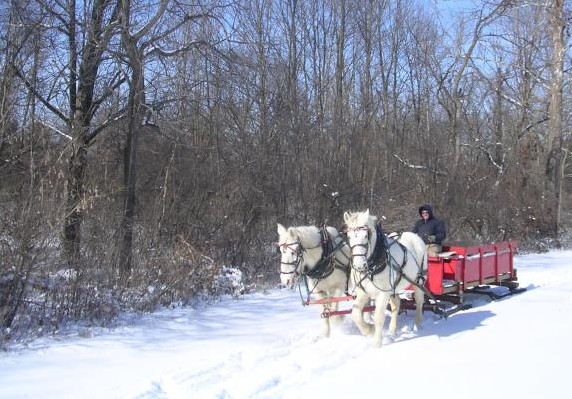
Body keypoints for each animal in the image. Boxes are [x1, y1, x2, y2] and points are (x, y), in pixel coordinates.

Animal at [342, 209, 426, 346]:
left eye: (366, 236)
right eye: (348, 237)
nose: (359, 265)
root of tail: (415, 236)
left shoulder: (383, 293)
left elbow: (378, 317)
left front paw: (377, 343)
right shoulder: (363, 292)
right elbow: (355, 314)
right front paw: (369, 330)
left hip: (418, 281)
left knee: (419, 301)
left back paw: (416, 326)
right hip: (394, 287)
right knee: (396, 304)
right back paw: (392, 330)